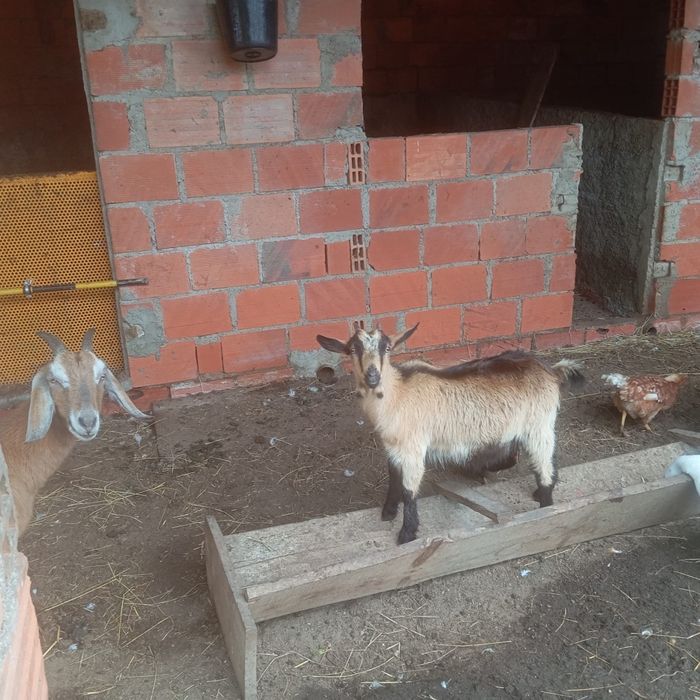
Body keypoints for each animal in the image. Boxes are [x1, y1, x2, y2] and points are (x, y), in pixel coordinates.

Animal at [317, 324, 583, 544]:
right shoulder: (393, 446)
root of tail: (550, 370)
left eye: (388, 347)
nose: (373, 376)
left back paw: (545, 502)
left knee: (544, 460)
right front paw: (388, 512)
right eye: (353, 348)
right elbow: (393, 476)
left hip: (539, 425)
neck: (397, 393)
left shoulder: (413, 447)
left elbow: (409, 488)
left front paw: (407, 534)